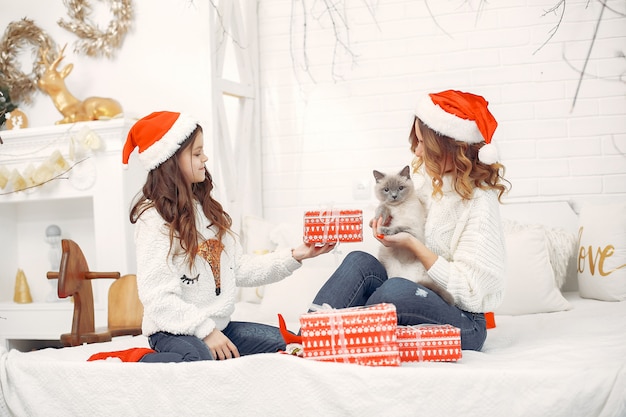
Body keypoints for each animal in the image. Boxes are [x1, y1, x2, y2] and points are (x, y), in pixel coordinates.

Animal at [370, 164, 454, 304]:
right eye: (386, 190)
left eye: (400, 188)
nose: (394, 196)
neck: (398, 207)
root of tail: (409, 278)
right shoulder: (387, 209)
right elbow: (383, 208)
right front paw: (377, 219)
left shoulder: (413, 231)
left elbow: (397, 228)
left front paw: (383, 230)